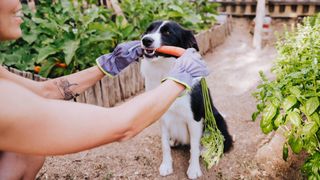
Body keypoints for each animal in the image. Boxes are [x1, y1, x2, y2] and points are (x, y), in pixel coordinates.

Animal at [139, 20, 231, 179]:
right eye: (148, 30)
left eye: (167, 32)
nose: (146, 40)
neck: (166, 71)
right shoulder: (162, 117)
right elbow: (164, 145)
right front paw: (166, 166)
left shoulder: (195, 119)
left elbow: (194, 147)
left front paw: (193, 170)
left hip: (215, 120)